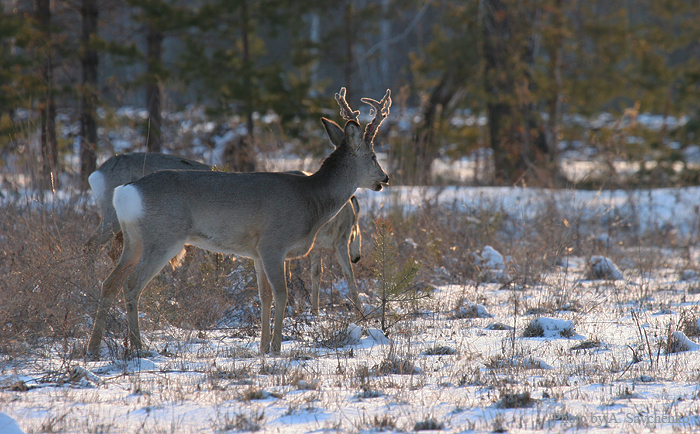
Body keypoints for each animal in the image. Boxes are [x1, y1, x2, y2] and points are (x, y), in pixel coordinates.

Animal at [85, 86, 392, 358]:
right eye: (373, 156)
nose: (385, 178)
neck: (311, 200)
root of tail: (124, 191)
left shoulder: (256, 252)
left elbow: (264, 295)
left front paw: (263, 347)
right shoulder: (273, 243)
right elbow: (281, 294)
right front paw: (277, 347)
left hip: (133, 239)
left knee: (109, 283)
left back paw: (93, 348)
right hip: (162, 237)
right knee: (132, 284)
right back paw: (138, 347)